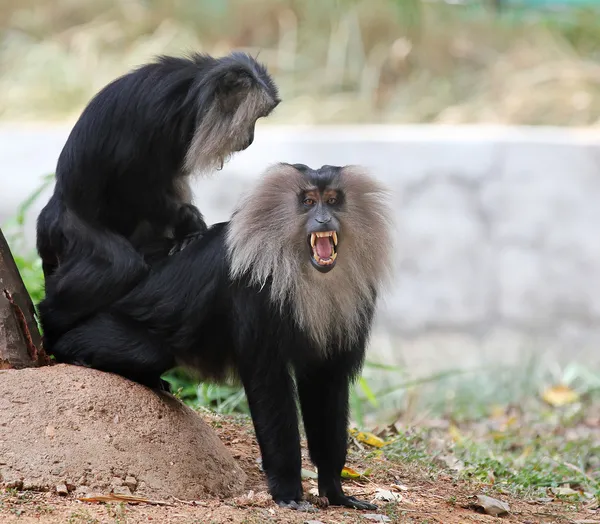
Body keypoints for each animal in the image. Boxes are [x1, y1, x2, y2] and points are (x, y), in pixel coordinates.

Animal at [36, 52, 280, 348]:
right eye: (252, 120)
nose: (250, 138)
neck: (189, 99)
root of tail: (56, 206)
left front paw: (187, 233)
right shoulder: (155, 113)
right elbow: (128, 180)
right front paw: (188, 222)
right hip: (73, 224)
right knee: (120, 267)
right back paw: (51, 321)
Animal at [48, 164, 394, 512]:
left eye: (333, 200)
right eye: (309, 202)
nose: (323, 219)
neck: (306, 271)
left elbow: (326, 382)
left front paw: (334, 490)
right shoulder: (256, 288)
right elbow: (267, 380)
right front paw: (287, 490)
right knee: (143, 350)